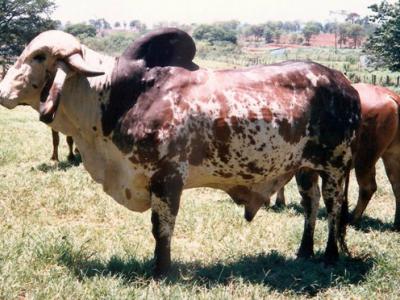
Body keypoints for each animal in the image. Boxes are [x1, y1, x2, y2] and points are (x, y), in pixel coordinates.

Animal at [0, 28, 362, 276]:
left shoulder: (167, 178)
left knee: (333, 208)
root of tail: (345, 83)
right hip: (305, 168)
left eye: (37, 57)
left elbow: (162, 228)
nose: (3, 92)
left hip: (335, 165)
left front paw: (161, 271)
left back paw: (330, 256)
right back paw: (304, 252)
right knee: (311, 205)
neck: (114, 96)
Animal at [274, 83, 400, 231]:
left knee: (368, 187)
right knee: (396, 186)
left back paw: (352, 219)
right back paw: (396, 224)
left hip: (365, 159)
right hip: (391, 156)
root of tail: (389, 95)